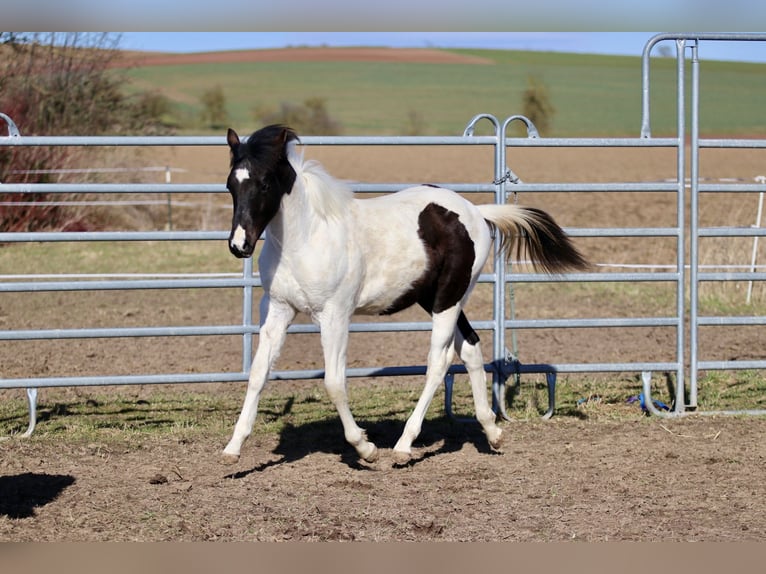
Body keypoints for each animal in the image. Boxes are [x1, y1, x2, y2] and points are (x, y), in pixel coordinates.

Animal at [221, 124, 588, 466]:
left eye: (265, 183)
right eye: (230, 185)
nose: (240, 245)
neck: (308, 238)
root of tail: (476, 212)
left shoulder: (335, 314)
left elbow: (334, 382)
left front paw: (365, 448)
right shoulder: (278, 310)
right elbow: (258, 374)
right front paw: (233, 449)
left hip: (448, 299)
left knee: (439, 361)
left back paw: (403, 446)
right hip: (439, 298)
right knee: (470, 347)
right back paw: (492, 432)